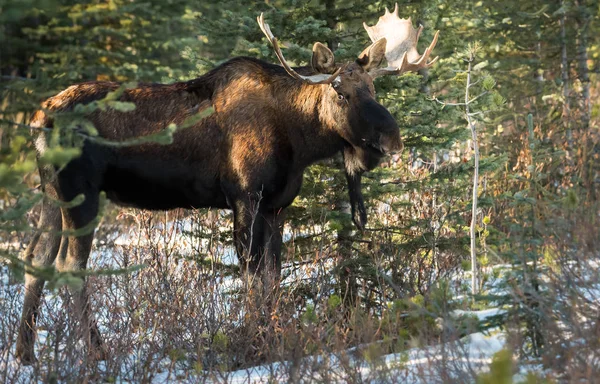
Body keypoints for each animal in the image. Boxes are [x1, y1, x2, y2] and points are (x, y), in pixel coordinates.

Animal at [14, 7, 436, 364]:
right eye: (341, 92)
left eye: (373, 90)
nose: (392, 139)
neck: (299, 141)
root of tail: (38, 120)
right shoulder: (246, 196)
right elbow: (251, 275)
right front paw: (255, 343)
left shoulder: (277, 205)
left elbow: (273, 276)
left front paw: (275, 337)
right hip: (80, 193)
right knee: (70, 265)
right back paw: (96, 352)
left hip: (51, 194)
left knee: (36, 258)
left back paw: (25, 353)